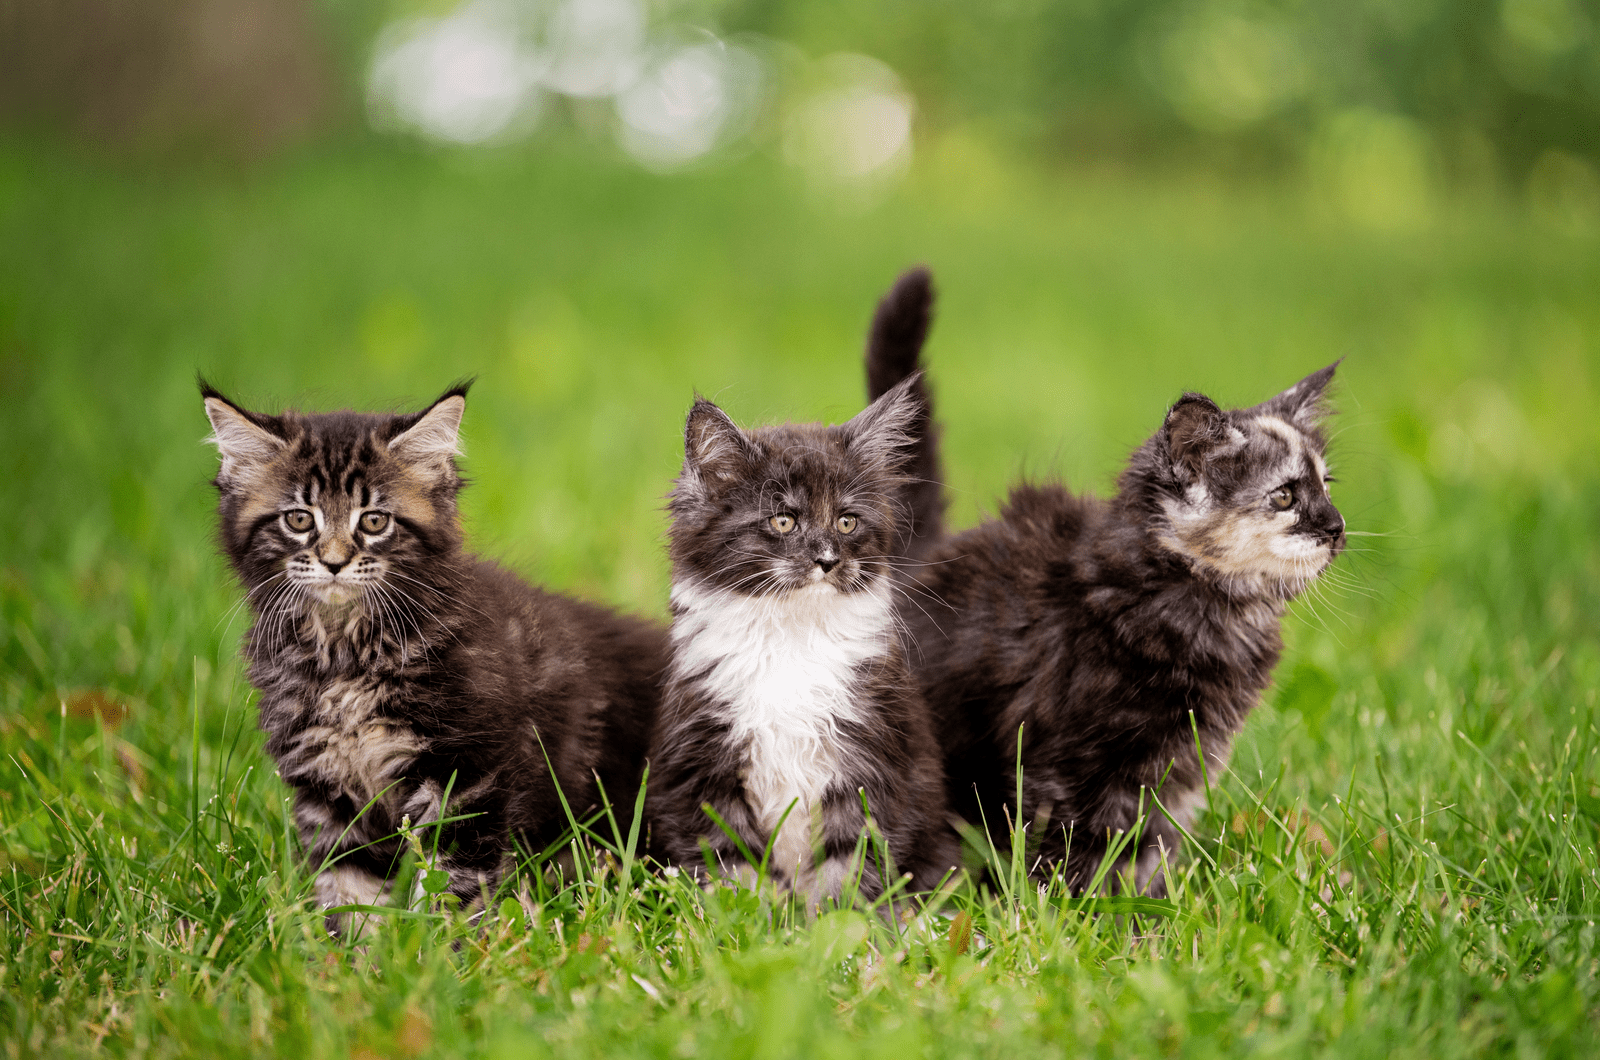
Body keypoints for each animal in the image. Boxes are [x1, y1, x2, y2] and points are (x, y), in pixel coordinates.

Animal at [203, 384, 665, 941]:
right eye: (299, 519)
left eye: (374, 521)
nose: (334, 561)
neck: (345, 654)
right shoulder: (328, 790)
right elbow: (349, 888)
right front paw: (357, 958)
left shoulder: (468, 772)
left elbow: (452, 884)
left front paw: (444, 951)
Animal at [640, 373, 960, 903]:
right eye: (783, 520)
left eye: (846, 521)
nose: (827, 559)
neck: (790, 637)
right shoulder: (702, 765)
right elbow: (734, 867)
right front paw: (751, 920)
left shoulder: (871, 759)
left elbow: (850, 866)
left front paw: (842, 924)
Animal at [870, 334, 1344, 896]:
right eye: (1286, 495)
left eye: (1328, 487)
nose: (1337, 527)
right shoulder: (1064, 765)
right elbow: (1071, 851)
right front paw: (1072, 910)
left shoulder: (1182, 766)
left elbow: (1154, 845)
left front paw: (1156, 906)